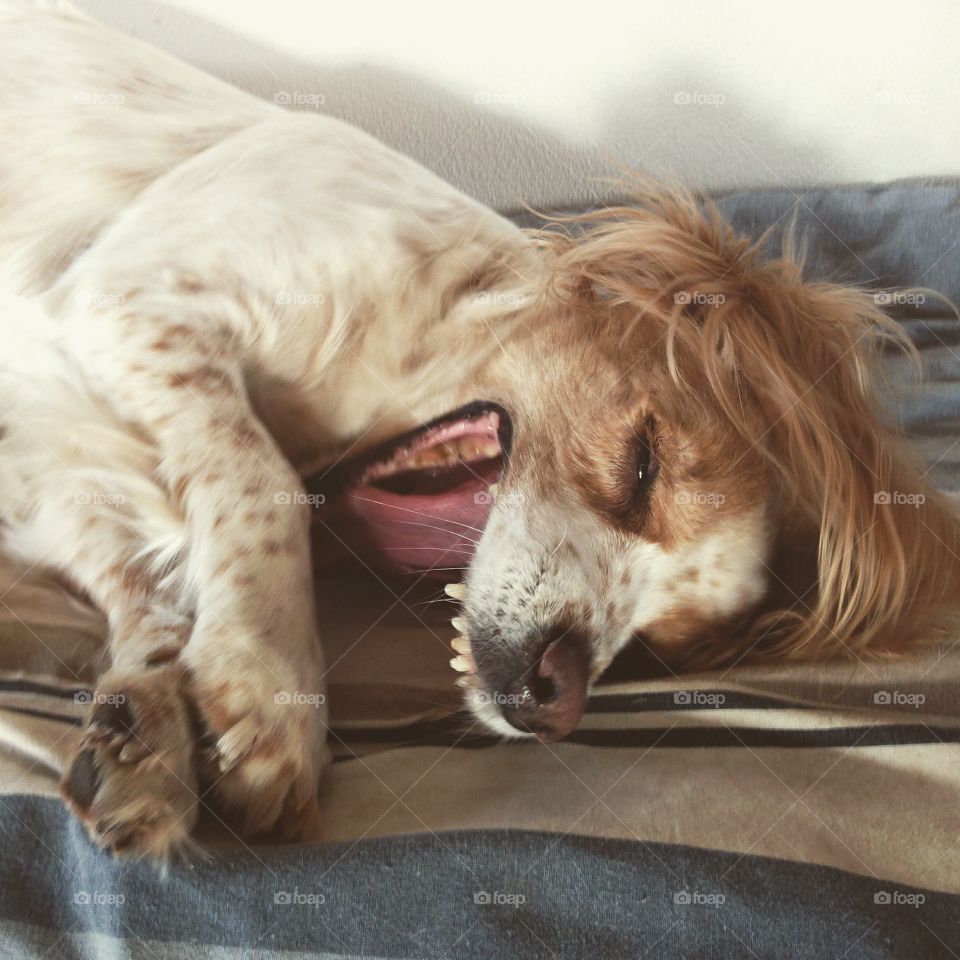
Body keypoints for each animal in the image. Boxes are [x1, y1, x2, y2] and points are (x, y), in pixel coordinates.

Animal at [1, 0, 960, 856]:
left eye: (659, 647)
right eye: (642, 465)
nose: (559, 697)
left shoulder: (64, 437)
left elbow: (152, 580)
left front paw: (148, 731)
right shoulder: (123, 303)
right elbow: (259, 482)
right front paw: (271, 681)